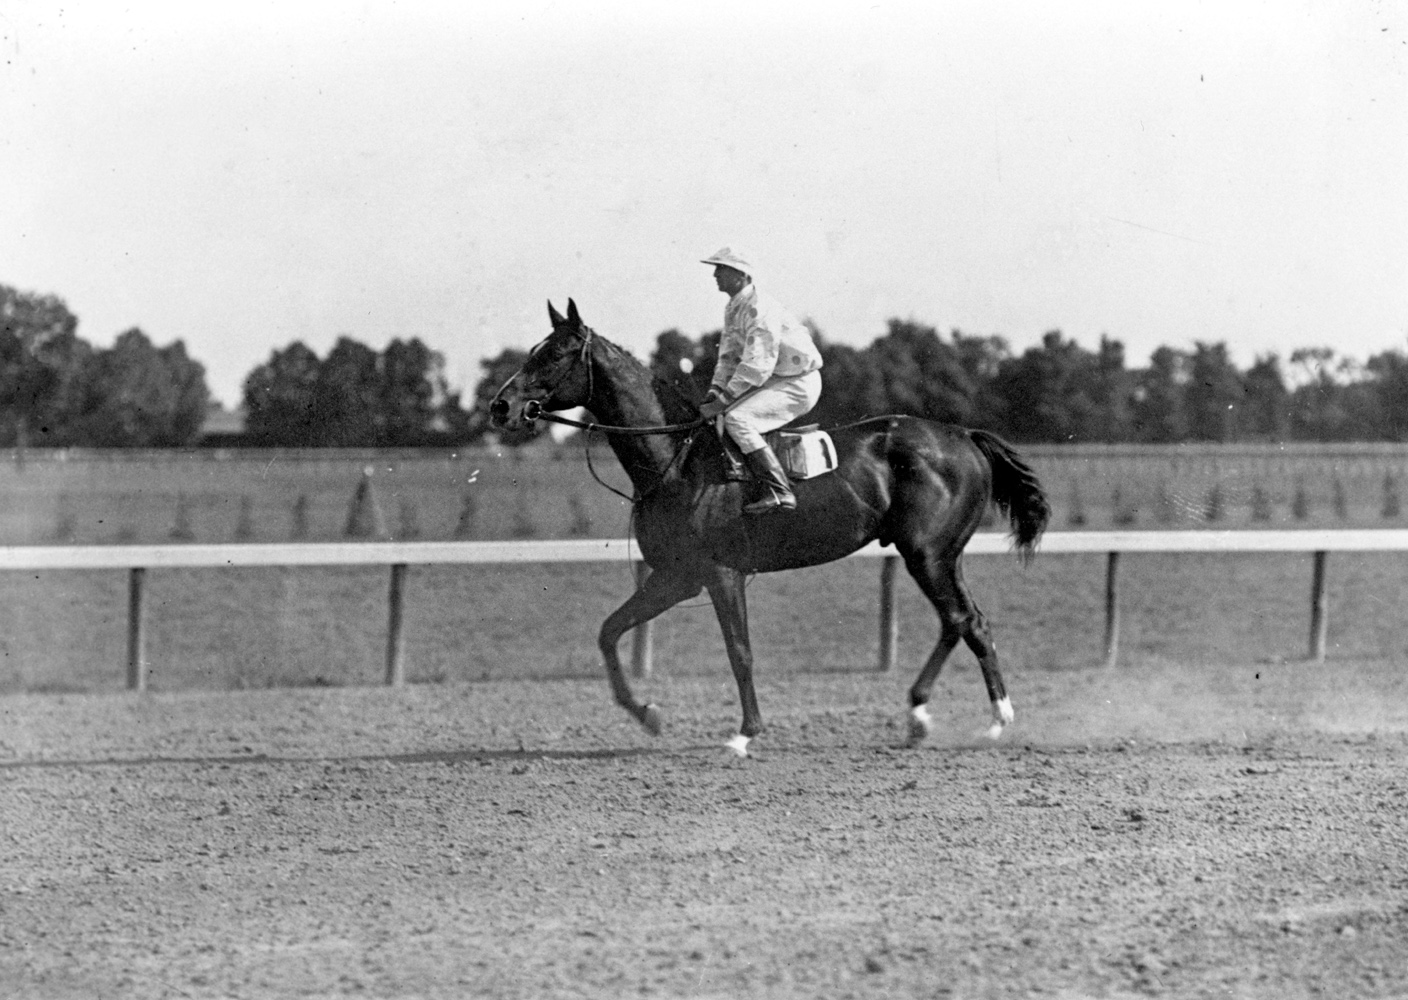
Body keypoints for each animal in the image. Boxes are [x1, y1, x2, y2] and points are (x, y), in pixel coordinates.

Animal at [489, 301, 1053, 754]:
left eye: (553, 354)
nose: (501, 406)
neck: (677, 459)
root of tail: (963, 434)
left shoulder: (720, 574)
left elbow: (740, 652)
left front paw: (744, 734)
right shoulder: (676, 576)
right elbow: (609, 632)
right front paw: (648, 715)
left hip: (926, 553)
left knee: (961, 619)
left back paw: (959, 717)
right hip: (939, 555)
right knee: (965, 622)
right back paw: (956, 718)